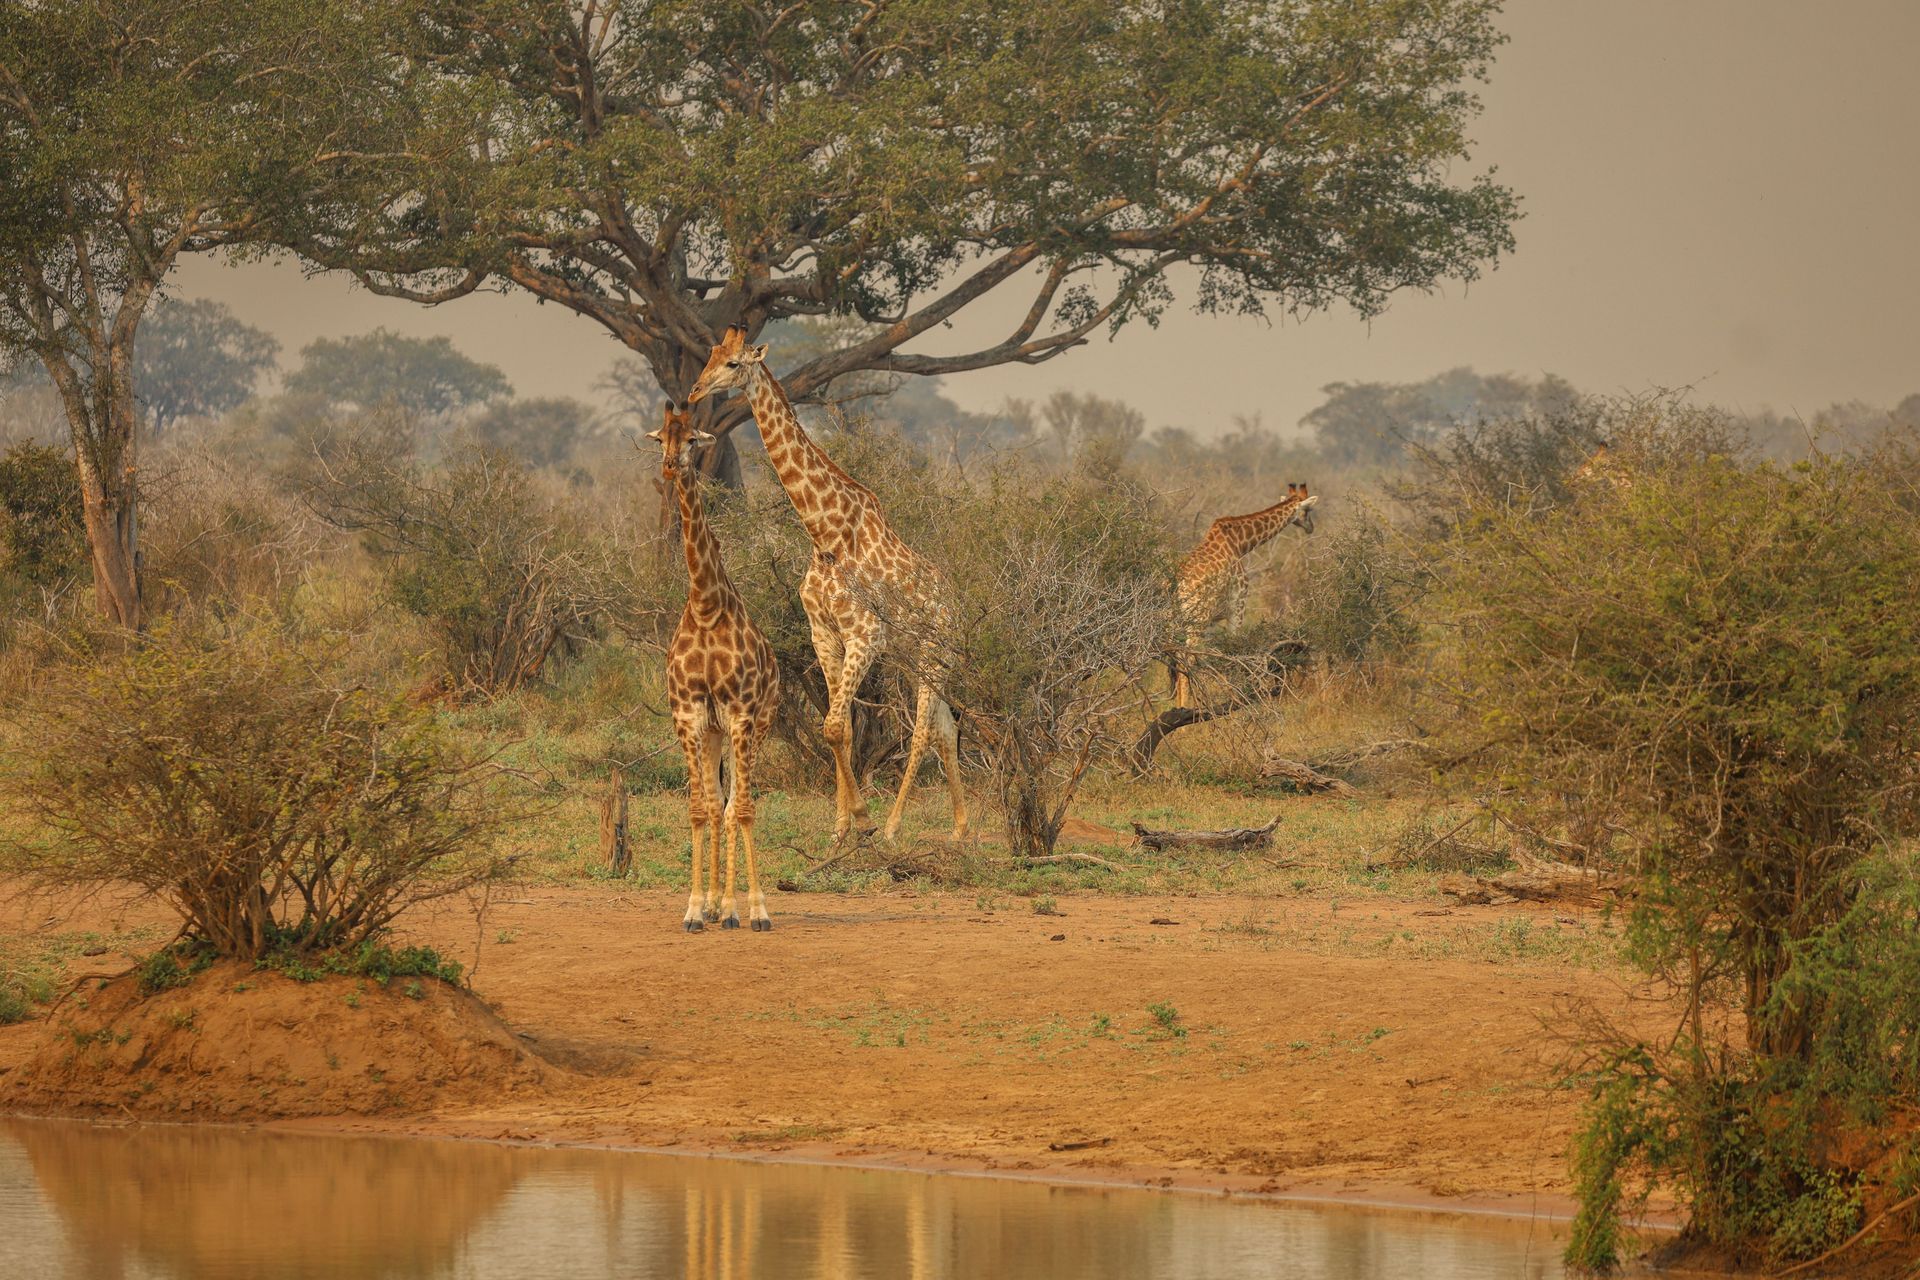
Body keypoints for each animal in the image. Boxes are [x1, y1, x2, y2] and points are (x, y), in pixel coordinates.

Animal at [686, 326, 968, 844]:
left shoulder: (865, 635)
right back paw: (960, 829)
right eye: (711, 355)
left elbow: (836, 727)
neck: (826, 534)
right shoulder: (825, 635)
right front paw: (841, 828)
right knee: (944, 728)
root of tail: (956, 607)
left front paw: (864, 821)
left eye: (734, 364)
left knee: (922, 731)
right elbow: (841, 729)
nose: (695, 392)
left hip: (935, 654)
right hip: (913, 658)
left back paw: (895, 826)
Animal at [1171, 483, 1319, 707]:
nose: (1310, 527)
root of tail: (1177, 584)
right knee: (1186, 656)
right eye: (1308, 510)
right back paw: (1186, 713)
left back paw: (1179, 707)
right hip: (1197, 618)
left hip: (1175, 620)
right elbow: (1235, 651)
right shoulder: (1237, 606)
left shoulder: (1216, 619)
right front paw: (1237, 700)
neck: (1241, 543)